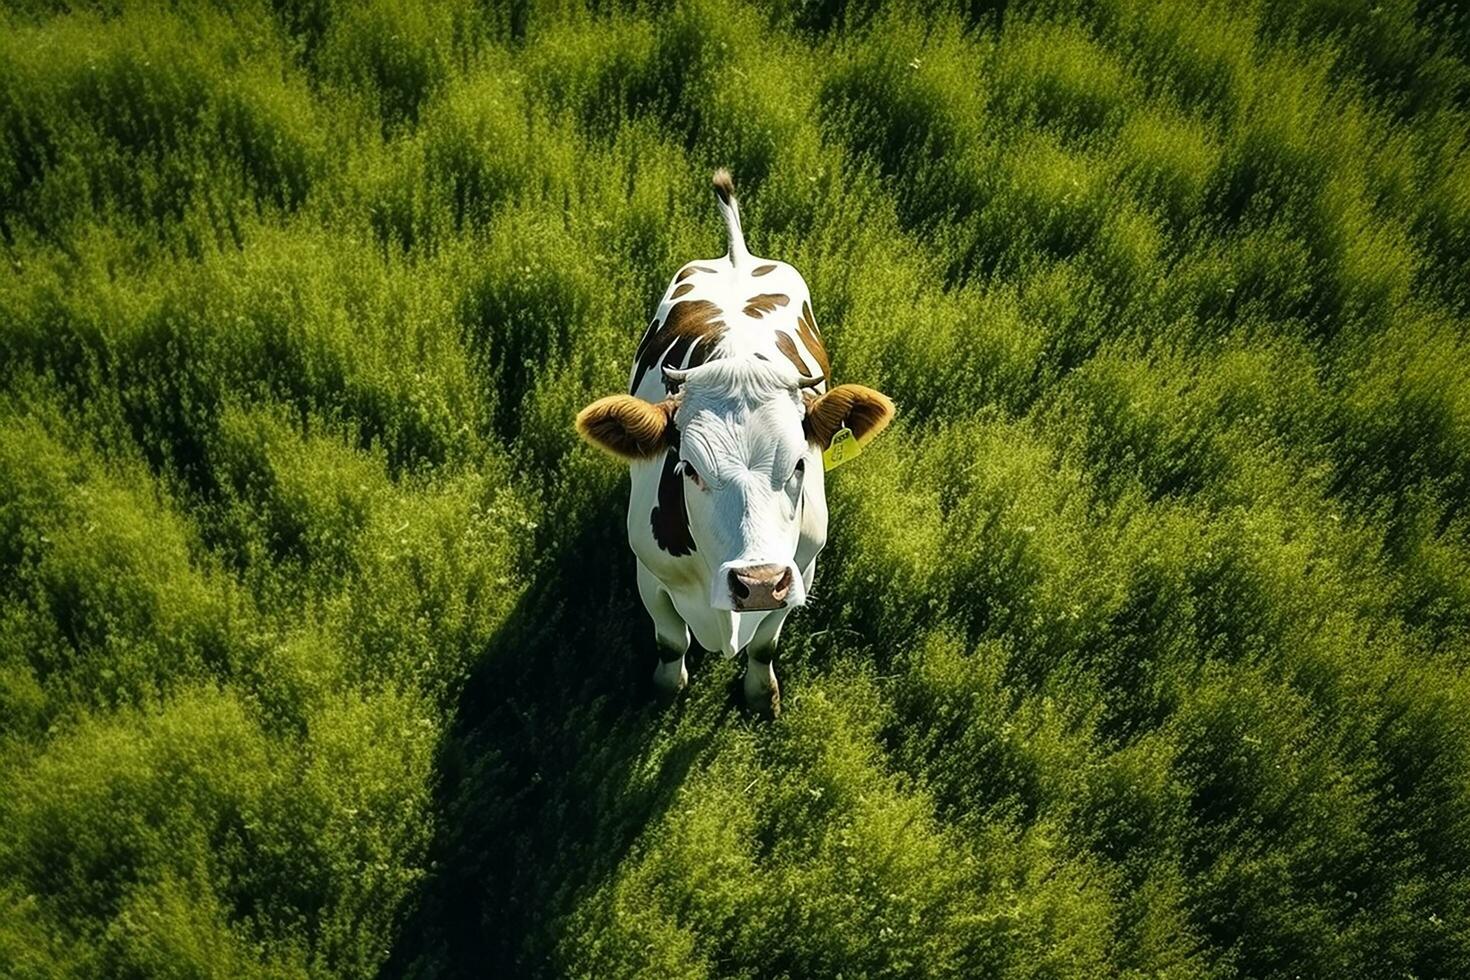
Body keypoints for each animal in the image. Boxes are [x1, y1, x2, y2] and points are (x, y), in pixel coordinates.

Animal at [573, 172, 893, 717]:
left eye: (800, 466)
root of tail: (738, 255)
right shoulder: (649, 575)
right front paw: (666, 690)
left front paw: (761, 696)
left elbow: (765, 645)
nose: (758, 581)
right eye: (688, 468)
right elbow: (670, 641)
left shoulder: (799, 573)